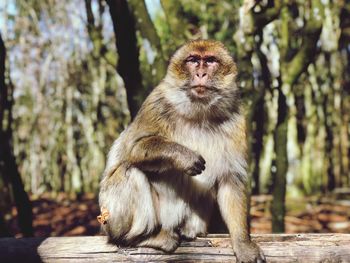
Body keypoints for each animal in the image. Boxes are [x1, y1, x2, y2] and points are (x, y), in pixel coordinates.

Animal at [98, 39, 266, 263]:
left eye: (210, 61)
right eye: (193, 60)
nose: (201, 74)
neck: (200, 113)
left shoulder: (237, 119)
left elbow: (230, 179)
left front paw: (243, 243)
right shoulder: (157, 102)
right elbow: (133, 147)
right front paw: (184, 156)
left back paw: (189, 231)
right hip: (110, 218)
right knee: (130, 171)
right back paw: (142, 237)